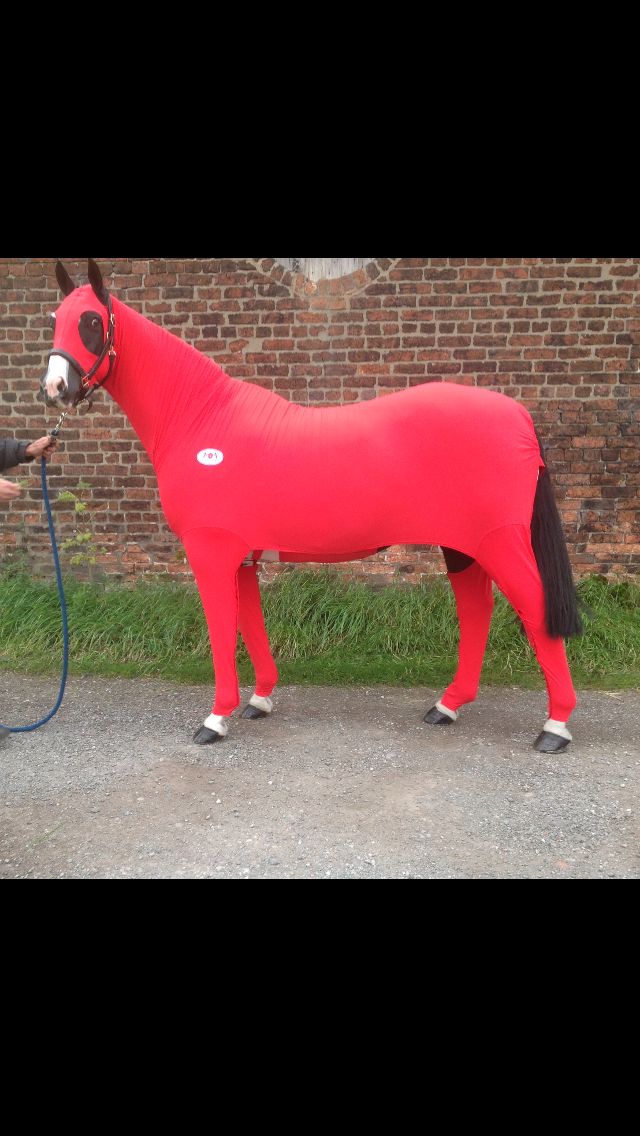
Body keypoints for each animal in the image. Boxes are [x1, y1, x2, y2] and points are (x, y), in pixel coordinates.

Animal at [40, 260, 582, 749]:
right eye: (54, 319)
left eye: (92, 322)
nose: (54, 389)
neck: (201, 419)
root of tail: (518, 415)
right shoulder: (242, 555)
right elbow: (250, 621)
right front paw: (258, 700)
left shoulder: (209, 550)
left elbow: (221, 627)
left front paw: (215, 719)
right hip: (462, 546)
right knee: (476, 609)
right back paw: (446, 706)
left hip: (499, 542)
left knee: (533, 607)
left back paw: (554, 727)